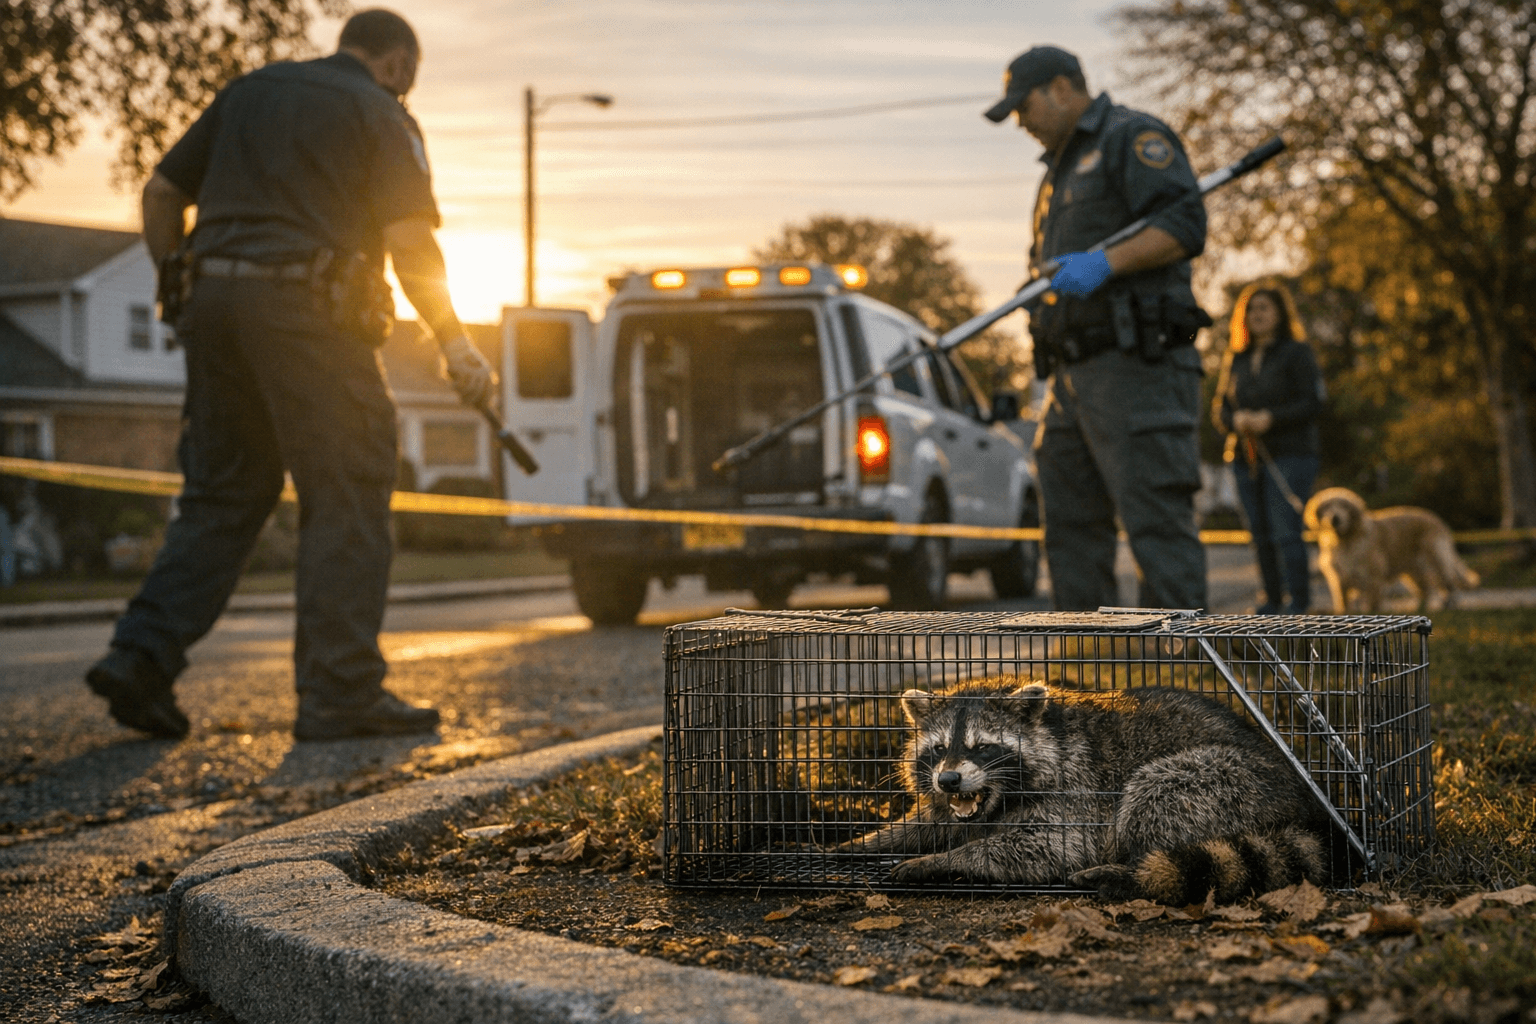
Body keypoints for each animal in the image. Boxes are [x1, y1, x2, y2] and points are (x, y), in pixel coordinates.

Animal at [839, 677, 1330, 903]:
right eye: (939, 749)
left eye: (983, 748)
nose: (949, 780)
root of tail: (1302, 799)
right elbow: (931, 820)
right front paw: (864, 842)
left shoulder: (1075, 789)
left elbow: (1049, 848)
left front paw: (942, 860)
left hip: (1228, 779)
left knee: (1154, 797)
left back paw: (1130, 873)